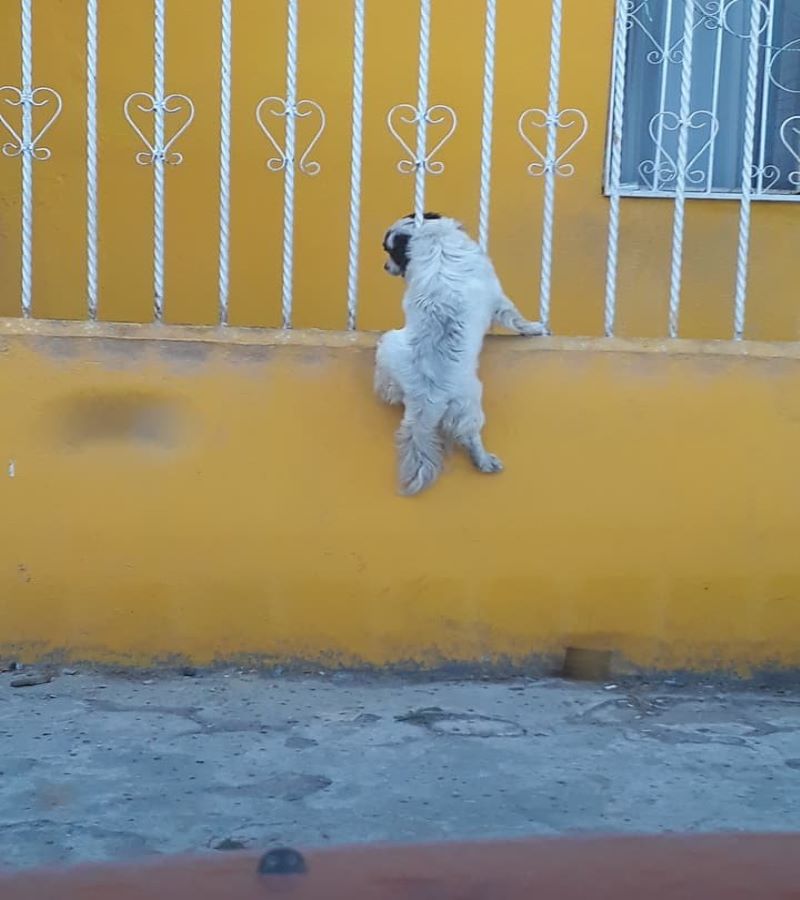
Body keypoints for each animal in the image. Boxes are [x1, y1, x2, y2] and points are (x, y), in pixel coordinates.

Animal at [378, 212, 548, 496]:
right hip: (466, 401)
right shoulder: (498, 297)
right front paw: (533, 328)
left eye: (392, 252)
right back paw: (484, 460)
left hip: (397, 349)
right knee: (469, 436)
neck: (435, 238)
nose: (384, 267)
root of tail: (428, 394)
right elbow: (514, 316)